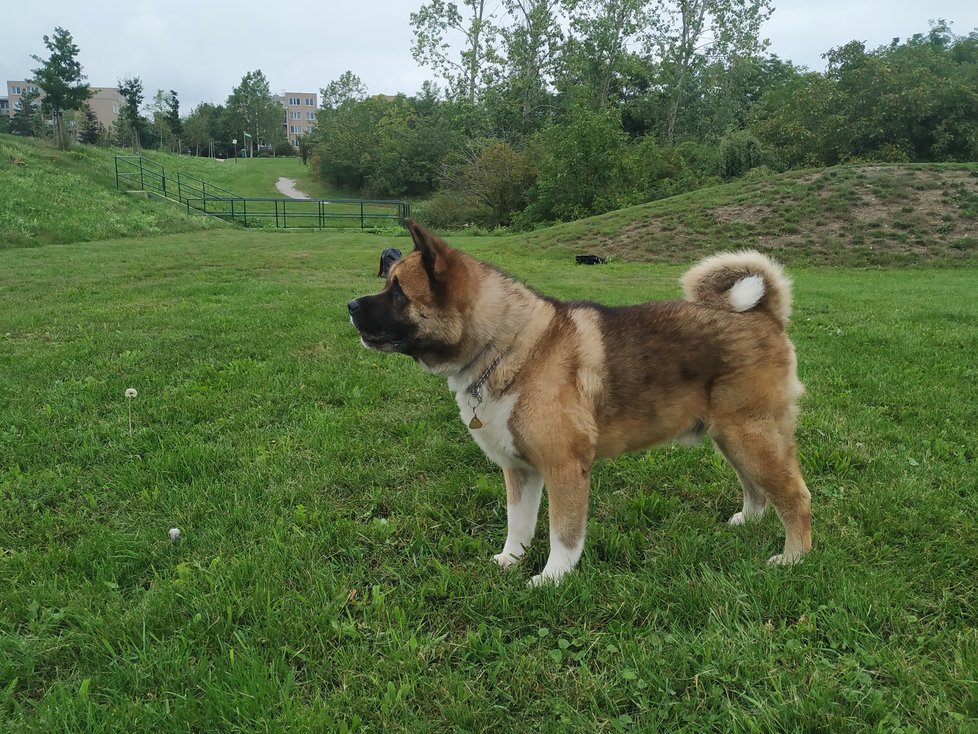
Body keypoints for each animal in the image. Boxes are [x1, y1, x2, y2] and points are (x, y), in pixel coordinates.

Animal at [346, 221, 812, 588]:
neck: (509, 346)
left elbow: (563, 534)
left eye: (398, 292)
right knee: (757, 491)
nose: (350, 305)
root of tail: (764, 315)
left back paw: (794, 558)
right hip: (733, 440)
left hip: (752, 438)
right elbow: (518, 525)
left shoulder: (564, 469)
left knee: (795, 497)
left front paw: (553, 578)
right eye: (387, 282)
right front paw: (509, 561)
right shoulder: (520, 470)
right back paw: (747, 521)